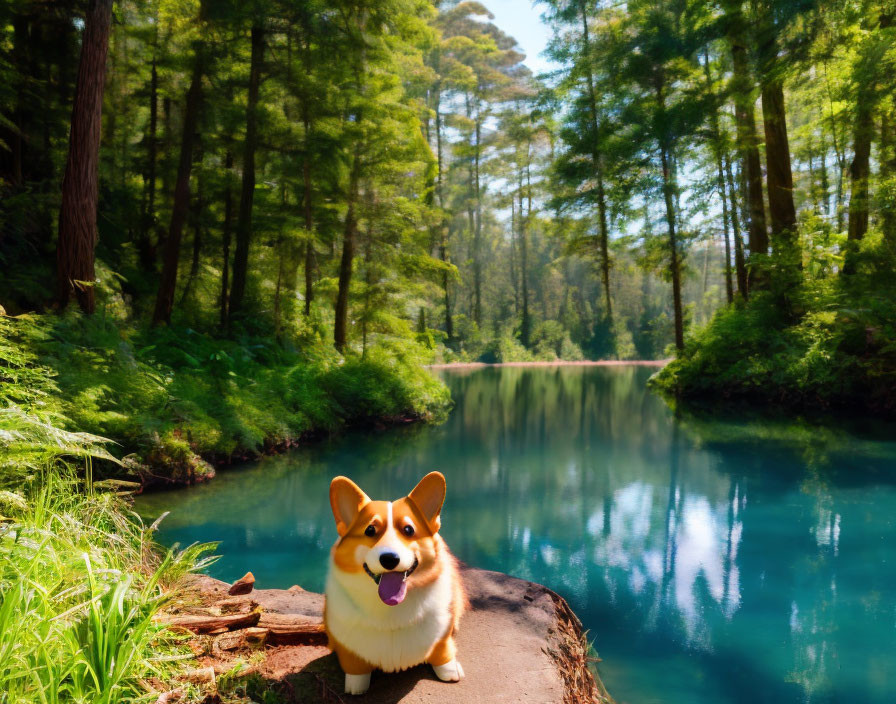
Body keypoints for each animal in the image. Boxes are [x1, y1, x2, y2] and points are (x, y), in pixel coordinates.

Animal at [324, 470, 466, 696]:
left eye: (408, 530)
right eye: (370, 530)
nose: (389, 559)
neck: (390, 611)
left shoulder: (441, 634)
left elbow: (442, 651)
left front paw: (450, 671)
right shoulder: (348, 645)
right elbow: (354, 665)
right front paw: (356, 686)